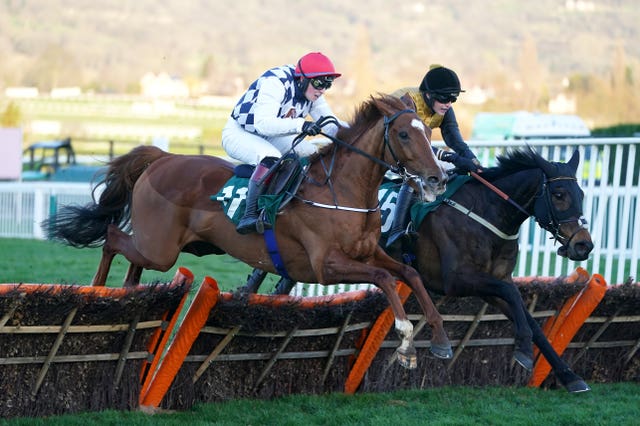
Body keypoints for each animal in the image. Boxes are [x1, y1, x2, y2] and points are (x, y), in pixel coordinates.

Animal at [43, 95, 450, 368]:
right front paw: (405, 340)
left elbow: (409, 273)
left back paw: (128, 291)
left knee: (131, 258)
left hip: (161, 247)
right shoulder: (325, 265)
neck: (342, 191)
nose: (437, 179)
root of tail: (163, 158)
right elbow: (384, 279)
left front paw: (440, 338)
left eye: (428, 132)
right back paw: (97, 290)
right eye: (403, 134)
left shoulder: (369, 252)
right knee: (113, 237)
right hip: (161, 249)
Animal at [384, 147, 596, 392]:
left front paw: (569, 376)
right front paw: (524, 350)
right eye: (559, 194)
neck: (486, 213)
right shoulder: (456, 281)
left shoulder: (493, 281)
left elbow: (529, 318)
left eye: (581, 194)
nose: (583, 245)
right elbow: (512, 294)